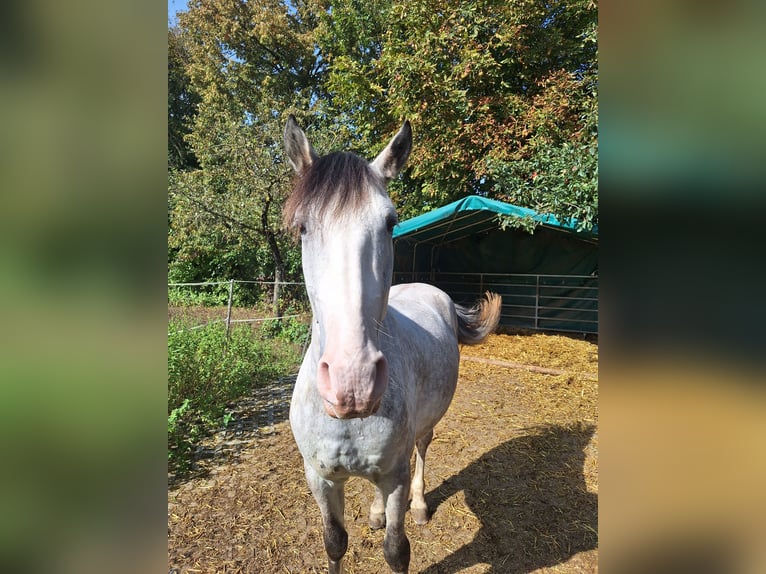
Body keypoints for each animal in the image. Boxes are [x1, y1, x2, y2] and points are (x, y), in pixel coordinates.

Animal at [284, 116, 504, 574]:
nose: (353, 382)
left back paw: (420, 506)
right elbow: (335, 543)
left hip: (422, 433)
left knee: (423, 449)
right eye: (302, 227)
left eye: (389, 223)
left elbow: (396, 550)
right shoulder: (320, 478)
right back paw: (373, 512)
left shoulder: (396, 475)